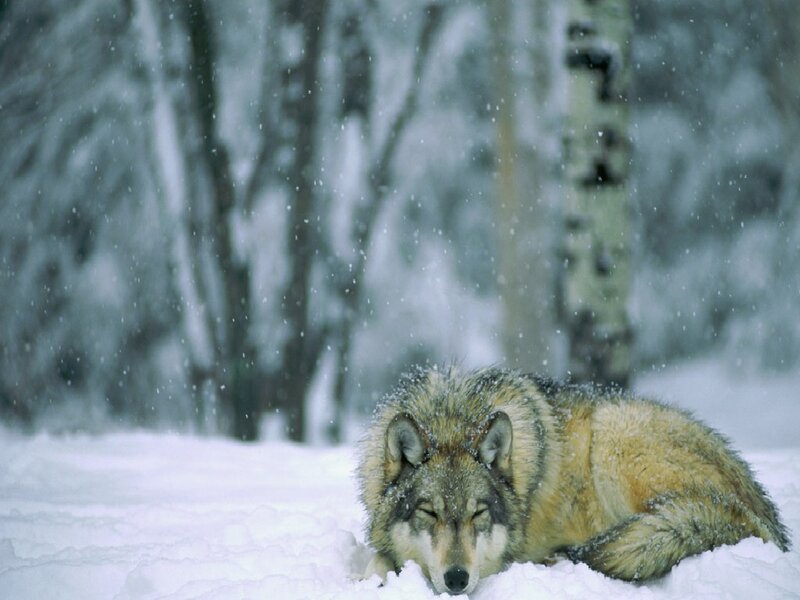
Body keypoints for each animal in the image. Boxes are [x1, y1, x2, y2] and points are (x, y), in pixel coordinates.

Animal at [357, 366, 790, 595]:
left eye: (479, 514)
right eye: (429, 513)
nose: (457, 578)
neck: (452, 419)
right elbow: (377, 559)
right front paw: (373, 580)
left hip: (613, 436)